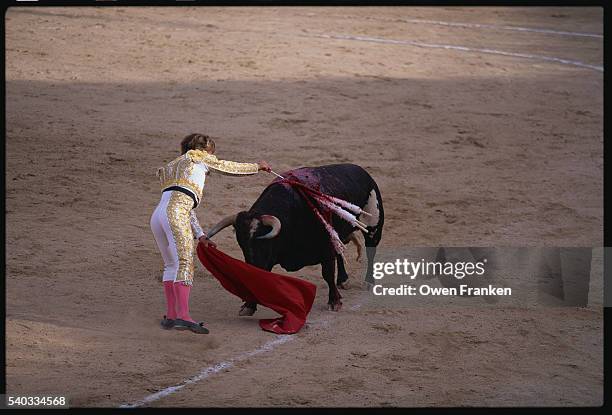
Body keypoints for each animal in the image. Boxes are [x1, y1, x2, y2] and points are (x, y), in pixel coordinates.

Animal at [208, 164, 384, 314]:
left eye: (262, 241)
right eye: (241, 244)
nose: (251, 268)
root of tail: (363, 172)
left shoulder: (326, 248)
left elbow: (327, 273)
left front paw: (334, 302)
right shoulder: (269, 258)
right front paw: (249, 305)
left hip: (373, 227)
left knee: (371, 251)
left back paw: (369, 282)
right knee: (340, 252)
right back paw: (343, 279)